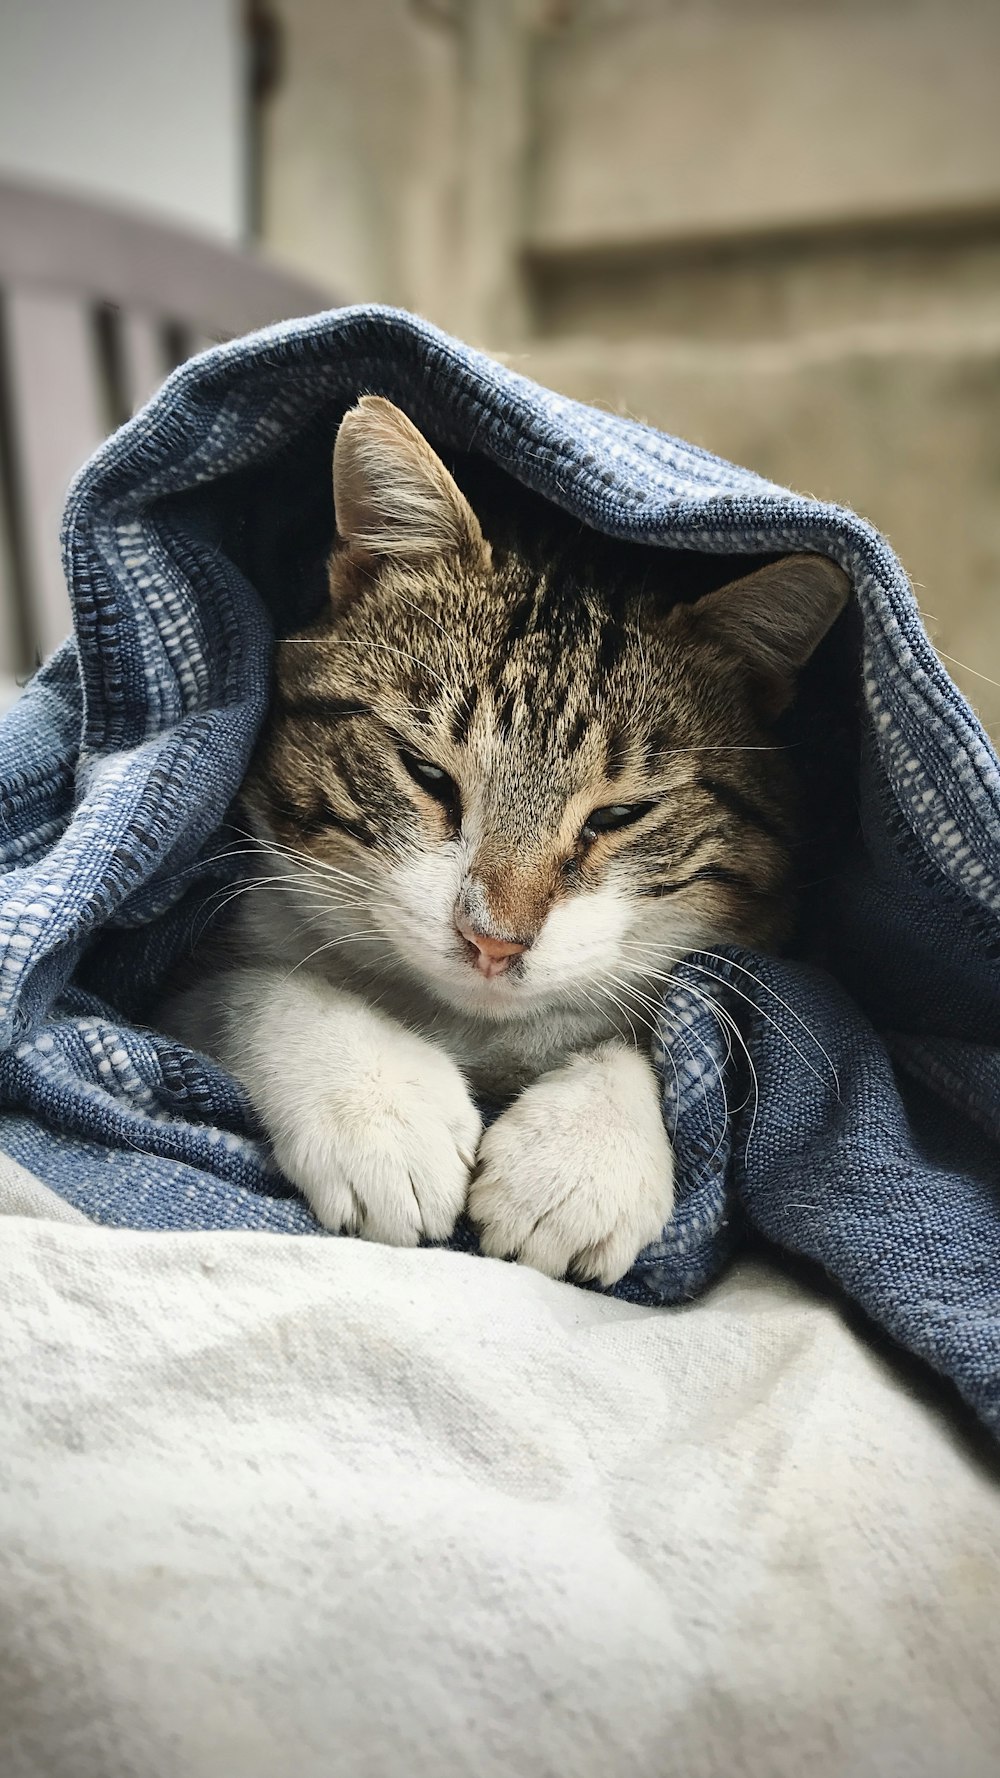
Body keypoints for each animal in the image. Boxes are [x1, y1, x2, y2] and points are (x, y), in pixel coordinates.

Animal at [159, 396, 843, 1287]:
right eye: (426, 773)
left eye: (619, 815)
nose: (493, 940)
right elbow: (253, 983)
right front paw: (379, 1102)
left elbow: (662, 1023)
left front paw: (582, 1156)